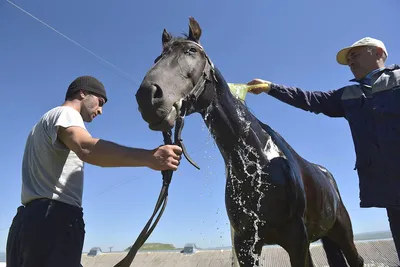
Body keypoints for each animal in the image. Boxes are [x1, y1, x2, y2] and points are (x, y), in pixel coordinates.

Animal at [134, 17, 362, 267]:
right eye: (157, 59)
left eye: (191, 51)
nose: (147, 95)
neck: (258, 162)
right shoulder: (245, 243)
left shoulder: (297, 240)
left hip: (342, 231)